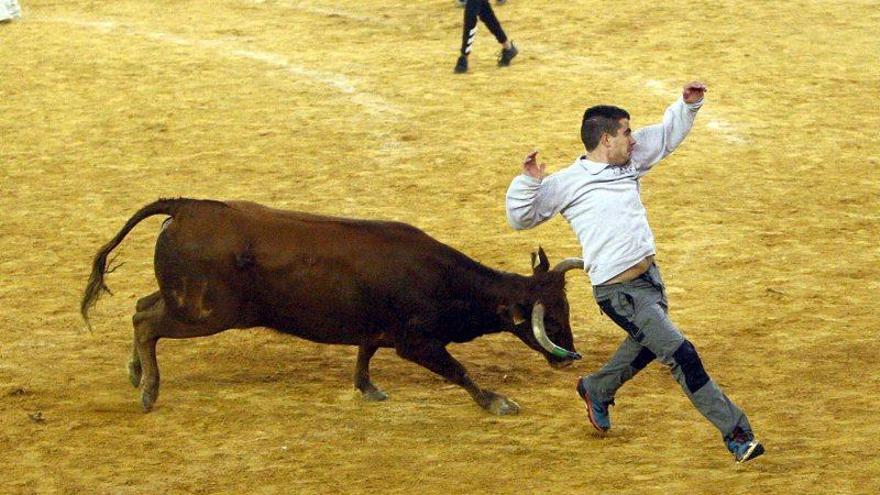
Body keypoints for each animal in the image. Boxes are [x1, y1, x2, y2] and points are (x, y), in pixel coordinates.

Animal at [79, 198, 580, 414]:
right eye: (550, 317)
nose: (570, 356)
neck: (443, 279)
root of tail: (186, 207)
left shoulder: (376, 330)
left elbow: (364, 356)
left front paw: (368, 388)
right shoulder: (417, 343)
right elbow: (459, 371)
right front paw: (497, 402)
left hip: (183, 300)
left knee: (141, 306)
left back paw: (135, 373)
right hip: (203, 312)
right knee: (146, 322)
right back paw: (148, 392)